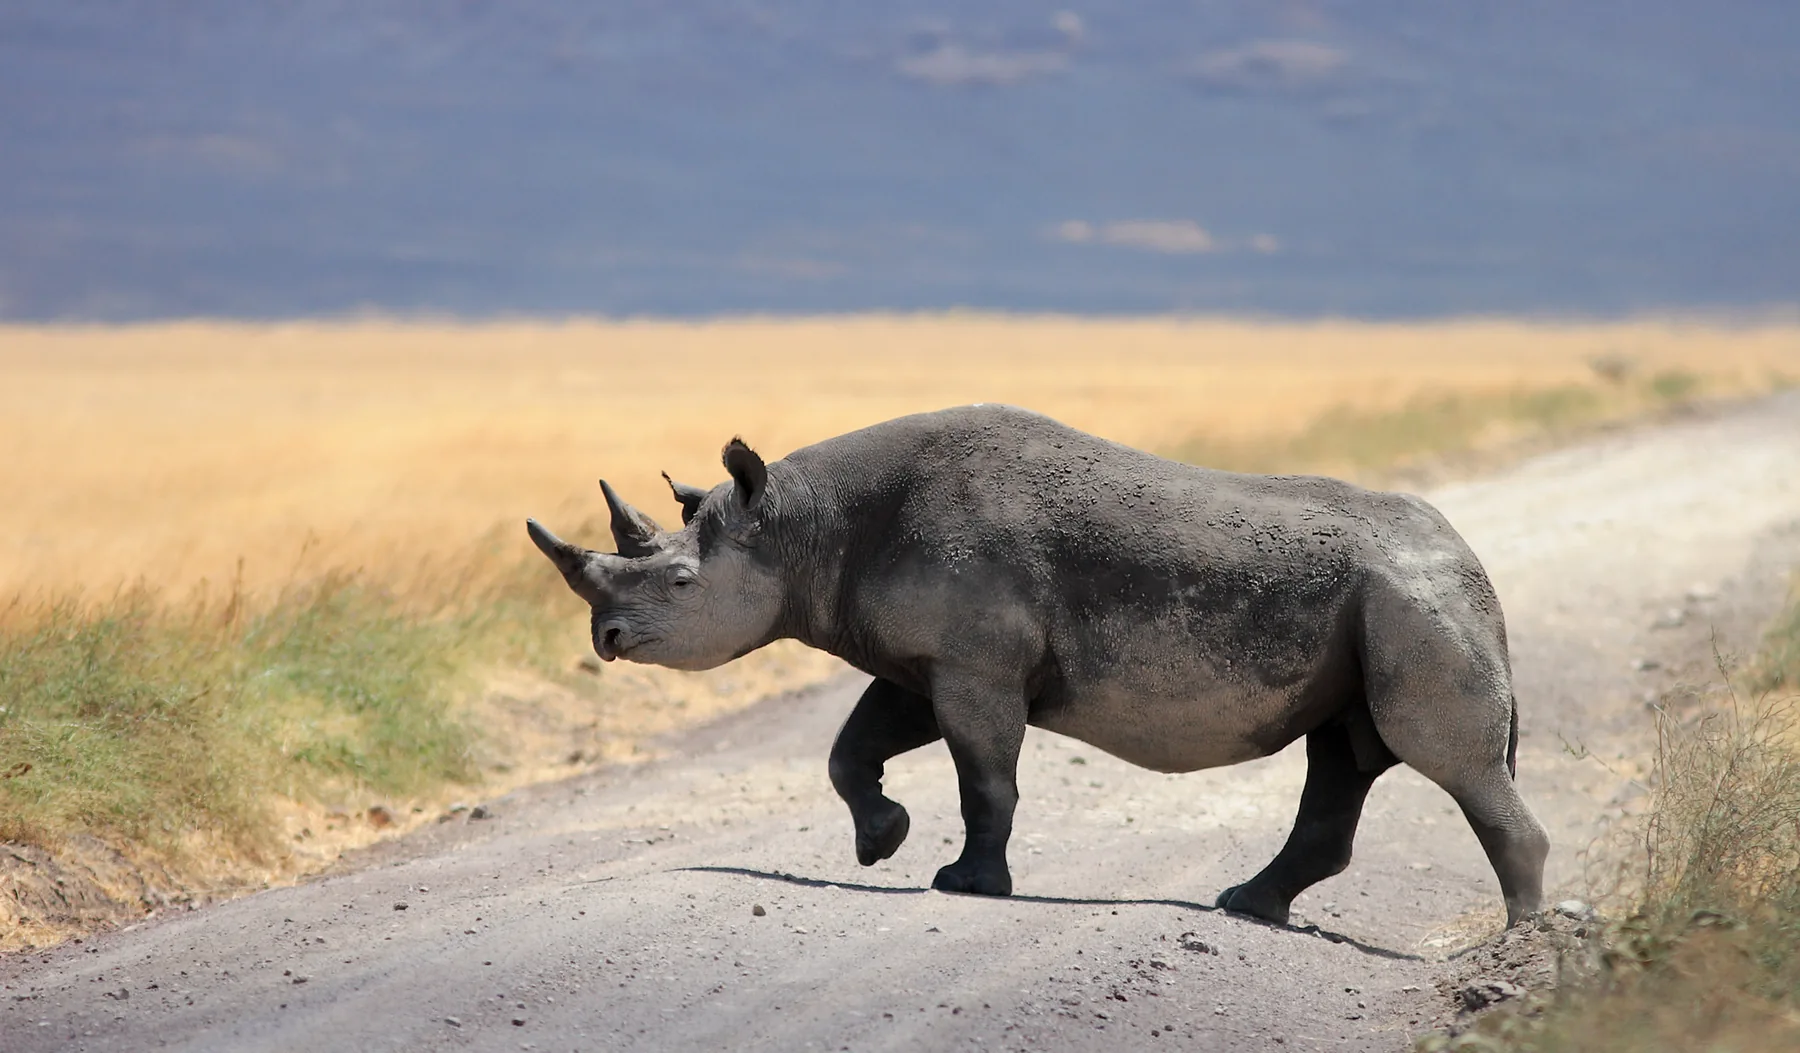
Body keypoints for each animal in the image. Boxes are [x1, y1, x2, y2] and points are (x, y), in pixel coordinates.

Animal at [527, 404, 1549, 926]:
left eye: (680, 582)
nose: (606, 638)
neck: (799, 523)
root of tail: (1475, 567)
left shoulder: (974, 663)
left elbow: (985, 777)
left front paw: (966, 884)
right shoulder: (926, 659)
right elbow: (853, 747)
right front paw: (881, 841)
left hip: (1413, 600)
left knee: (1440, 759)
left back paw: (1523, 941)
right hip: (1387, 601)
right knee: (1341, 756)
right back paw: (1246, 907)